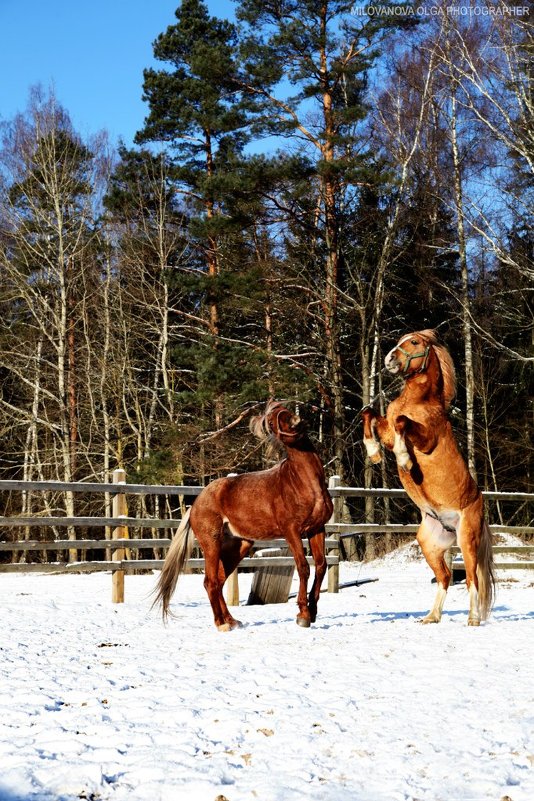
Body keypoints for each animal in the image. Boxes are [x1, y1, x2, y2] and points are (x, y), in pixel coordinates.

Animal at [152, 400, 336, 632]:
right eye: (271, 422)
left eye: (284, 409)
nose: (296, 422)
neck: (304, 483)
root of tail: (197, 502)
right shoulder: (291, 532)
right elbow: (303, 567)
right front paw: (303, 614)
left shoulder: (317, 529)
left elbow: (321, 566)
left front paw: (312, 611)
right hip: (211, 544)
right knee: (210, 582)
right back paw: (222, 623)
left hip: (238, 546)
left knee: (219, 580)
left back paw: (231, 620)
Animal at [362, 330, 496, 624]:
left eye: (414, 342)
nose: (389, 359)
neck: (419, 402)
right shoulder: (387, 432)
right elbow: (371, 415)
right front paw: (374, 453)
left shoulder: (424, 440)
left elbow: (401, 421)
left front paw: (404, 458)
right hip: (430, 545)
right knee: (445, 577)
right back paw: (431, 617)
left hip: (466, 541)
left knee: (471, 579)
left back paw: (472, 619)